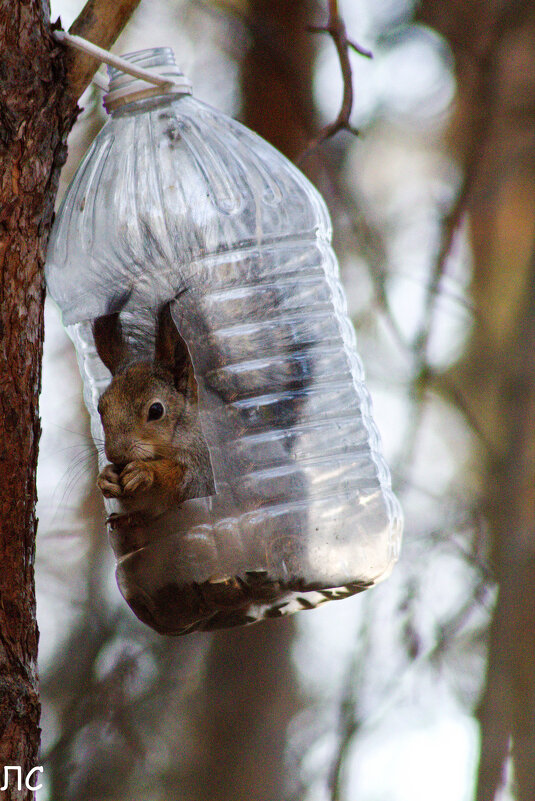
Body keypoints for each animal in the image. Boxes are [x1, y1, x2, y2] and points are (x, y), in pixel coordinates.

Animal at [93, 302, 215, 520]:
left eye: (156, 410)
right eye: (100, 408)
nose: (116, 455)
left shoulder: (203, 460)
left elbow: (188, 478)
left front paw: (145, 471)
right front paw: (106, 477)